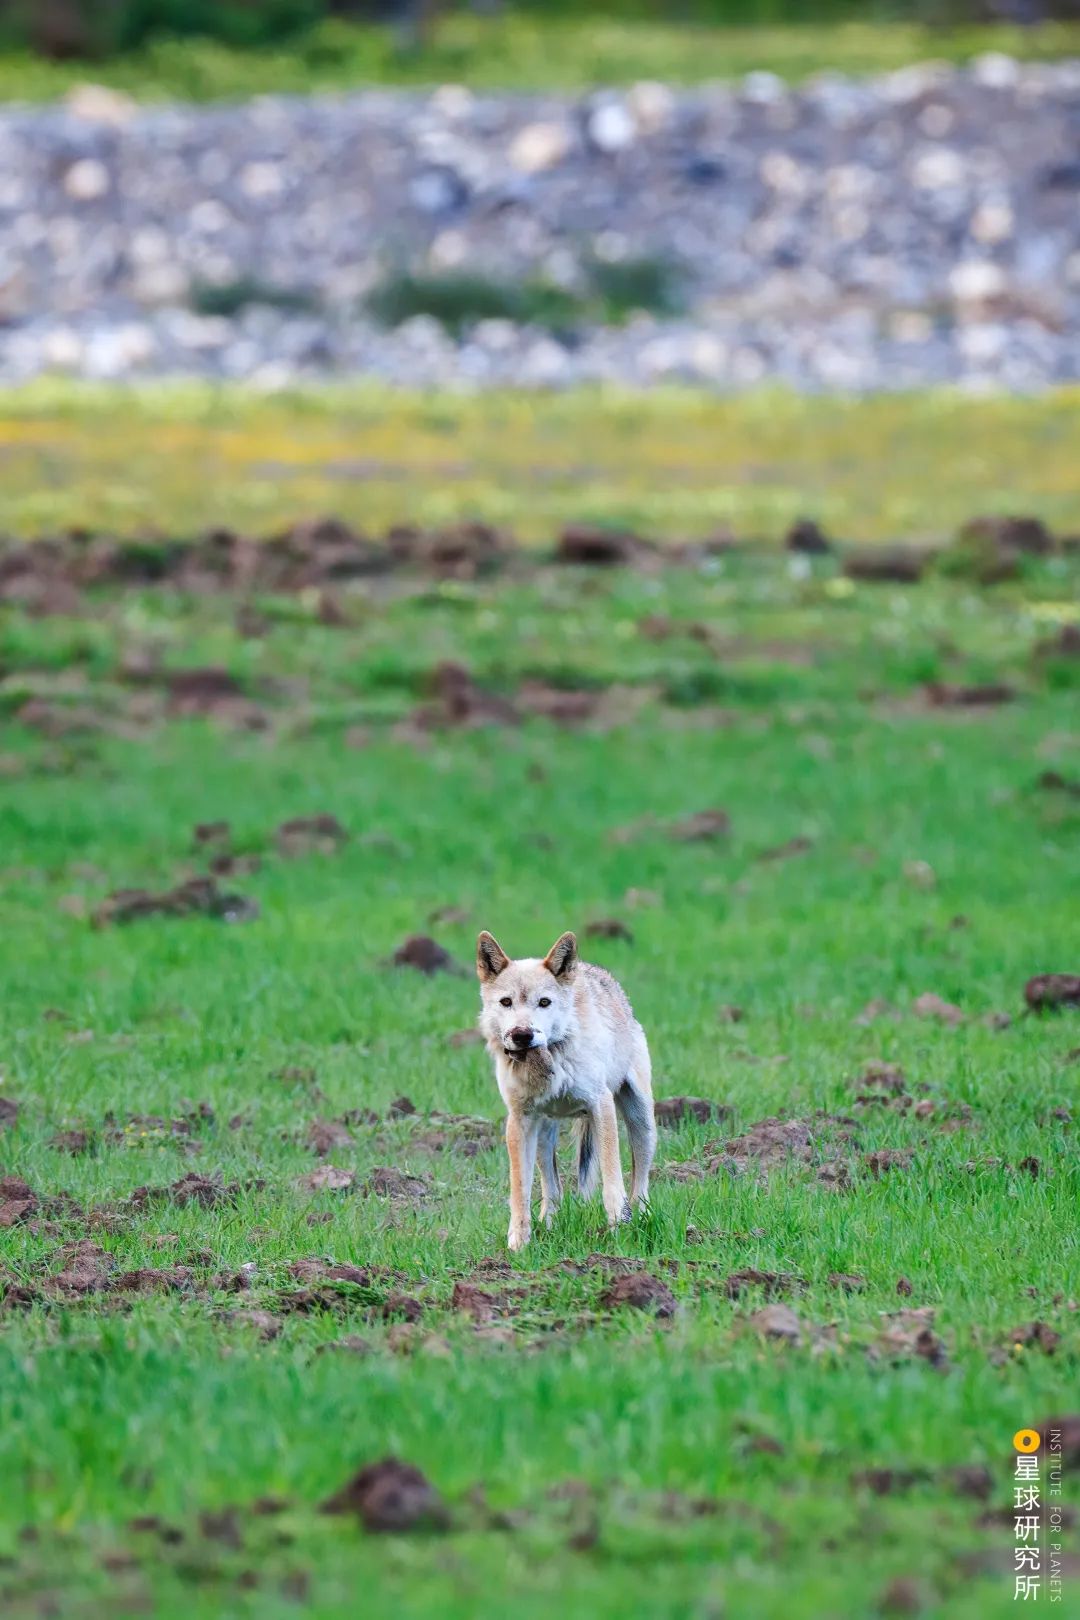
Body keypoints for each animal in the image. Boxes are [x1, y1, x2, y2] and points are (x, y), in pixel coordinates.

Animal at [476, 926, 654, 1250]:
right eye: (506, 1002)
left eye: (544, 1002)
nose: (522, 1035)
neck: (552, 1057)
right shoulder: (519, 1119)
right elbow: (520, 1190)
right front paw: (518, 1245)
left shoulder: (600, 1105)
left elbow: (612, 1180)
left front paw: (618, 1231)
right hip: (544, 1133)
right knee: (552, 1188)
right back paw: (549, 1227)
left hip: (642, 1122)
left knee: (641, 1182)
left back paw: (642, 1218)